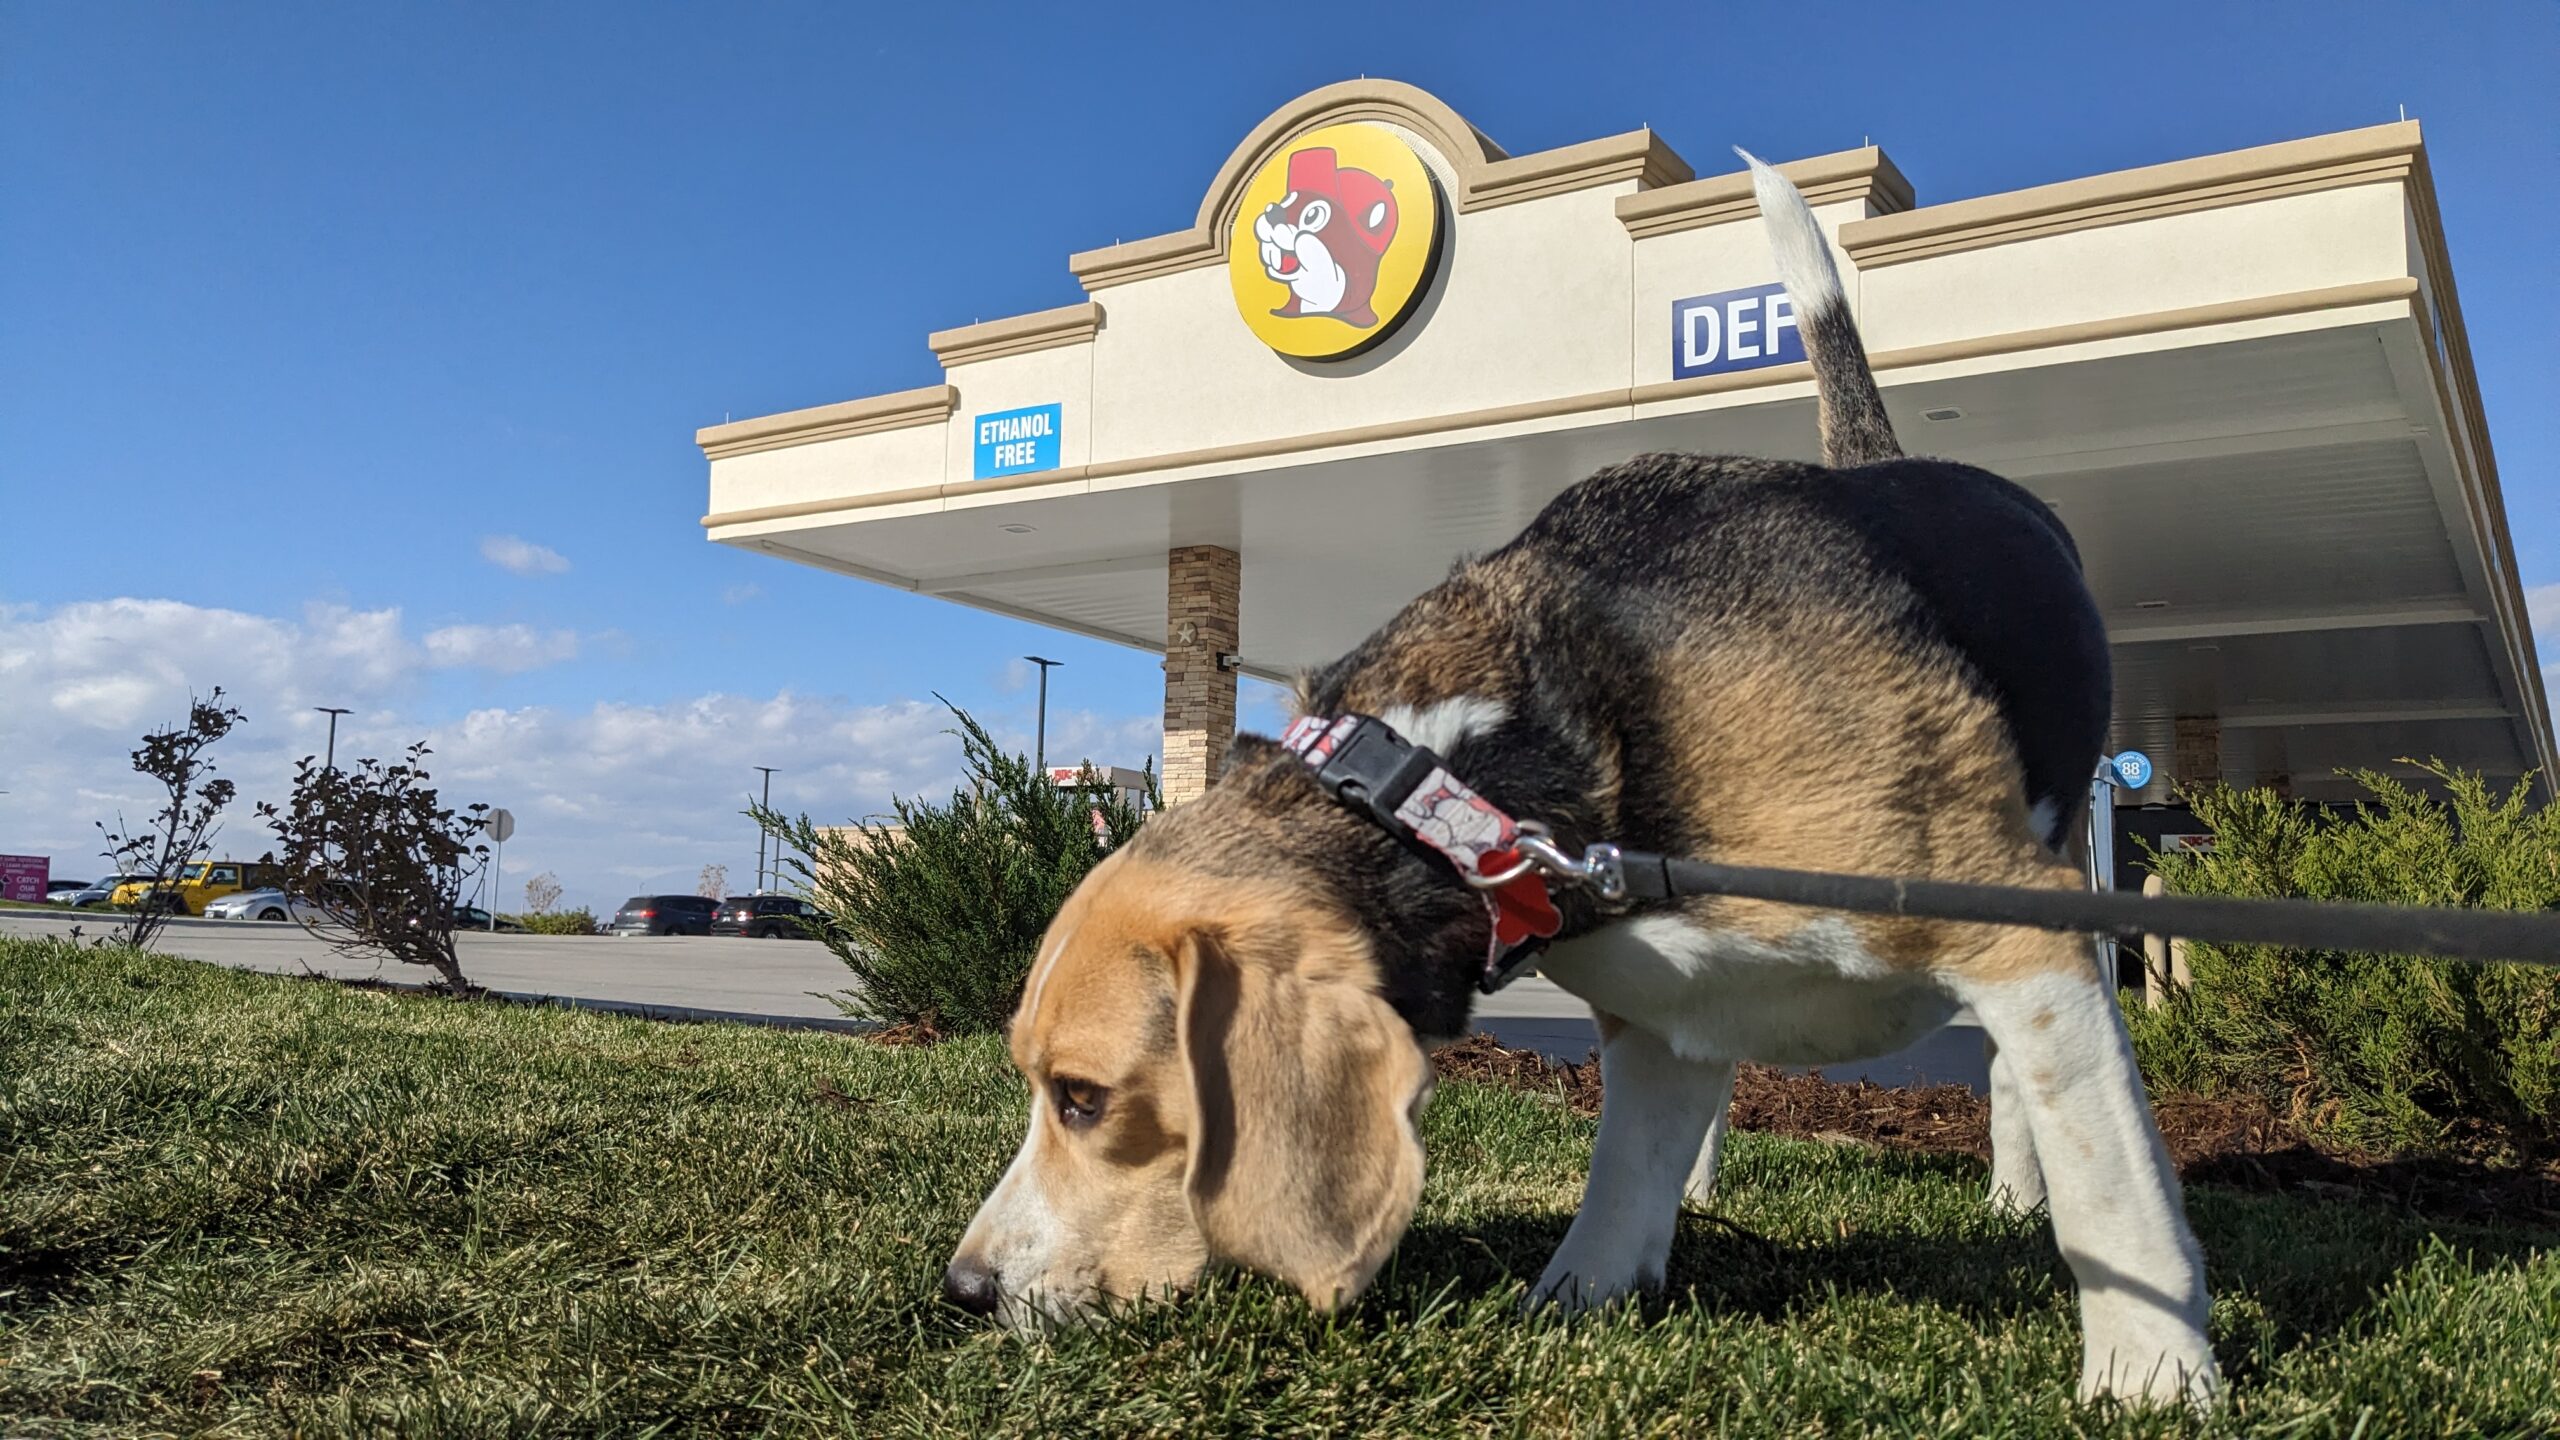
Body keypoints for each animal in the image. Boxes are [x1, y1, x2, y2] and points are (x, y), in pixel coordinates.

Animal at [947, 156, 2222, 1404]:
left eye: (1083, 1098)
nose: (963, 1291)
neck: (1463, 780)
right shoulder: (1656, 1016)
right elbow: (1618, 1189)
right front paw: (1572, 1306)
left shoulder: (2025, 946)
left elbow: (2110, 1190)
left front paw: (2150, 1373)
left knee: (2020, 1087)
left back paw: (2017, 1200)